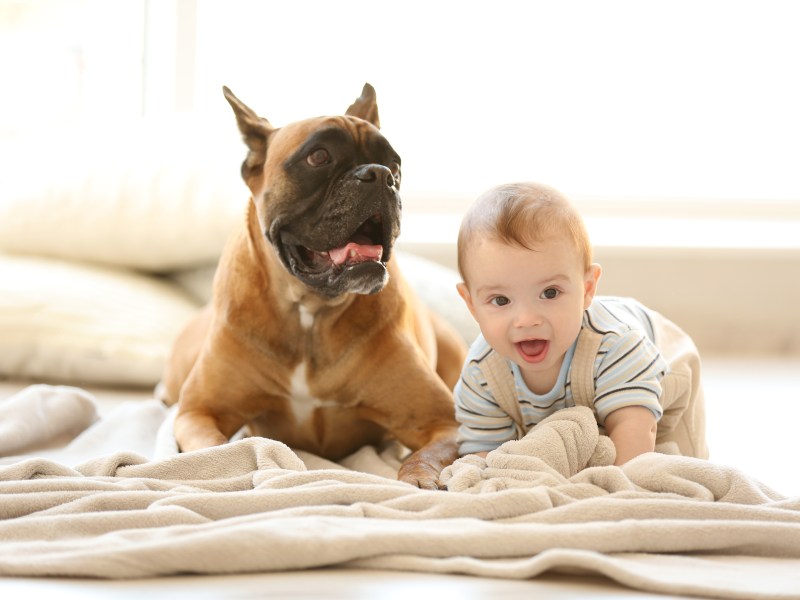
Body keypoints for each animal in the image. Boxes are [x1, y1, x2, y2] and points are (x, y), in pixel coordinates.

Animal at [159, 83, 466, 488]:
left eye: (396, 164)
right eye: (318, 157)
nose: (381, 174)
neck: (310, 310)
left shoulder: (442, 423)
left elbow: (424, 455)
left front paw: (418, 478)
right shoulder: (199, 412)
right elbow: (221, 450)